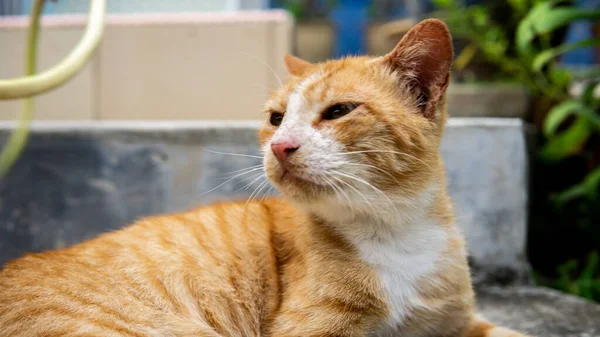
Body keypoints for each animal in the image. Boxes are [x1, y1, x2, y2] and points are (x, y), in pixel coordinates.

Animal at [1, 19, 528, 336]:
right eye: (277, 119)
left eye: (338, 111)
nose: (280, 146)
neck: (393, 230)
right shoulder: (311, 328)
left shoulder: (457, 322)